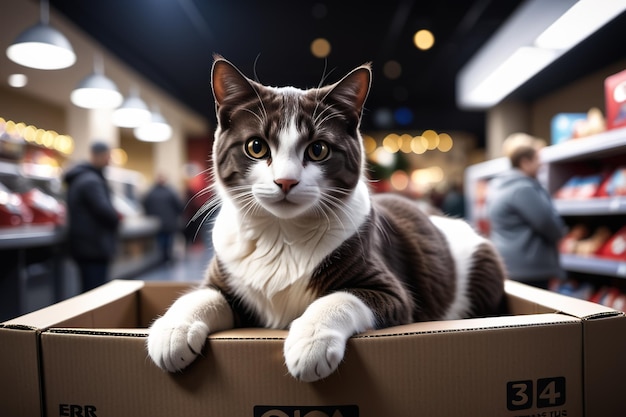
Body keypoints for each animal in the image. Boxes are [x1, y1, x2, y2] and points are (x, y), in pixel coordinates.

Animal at [147, 55, 508, 380]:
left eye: (318, 149)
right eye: (256, 147)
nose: (286, 181)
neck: (281, 234)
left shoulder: (393, 292)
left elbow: (342, 297)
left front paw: (310, 343)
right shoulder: (225, 275)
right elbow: (201, 294)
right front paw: (171, 330)